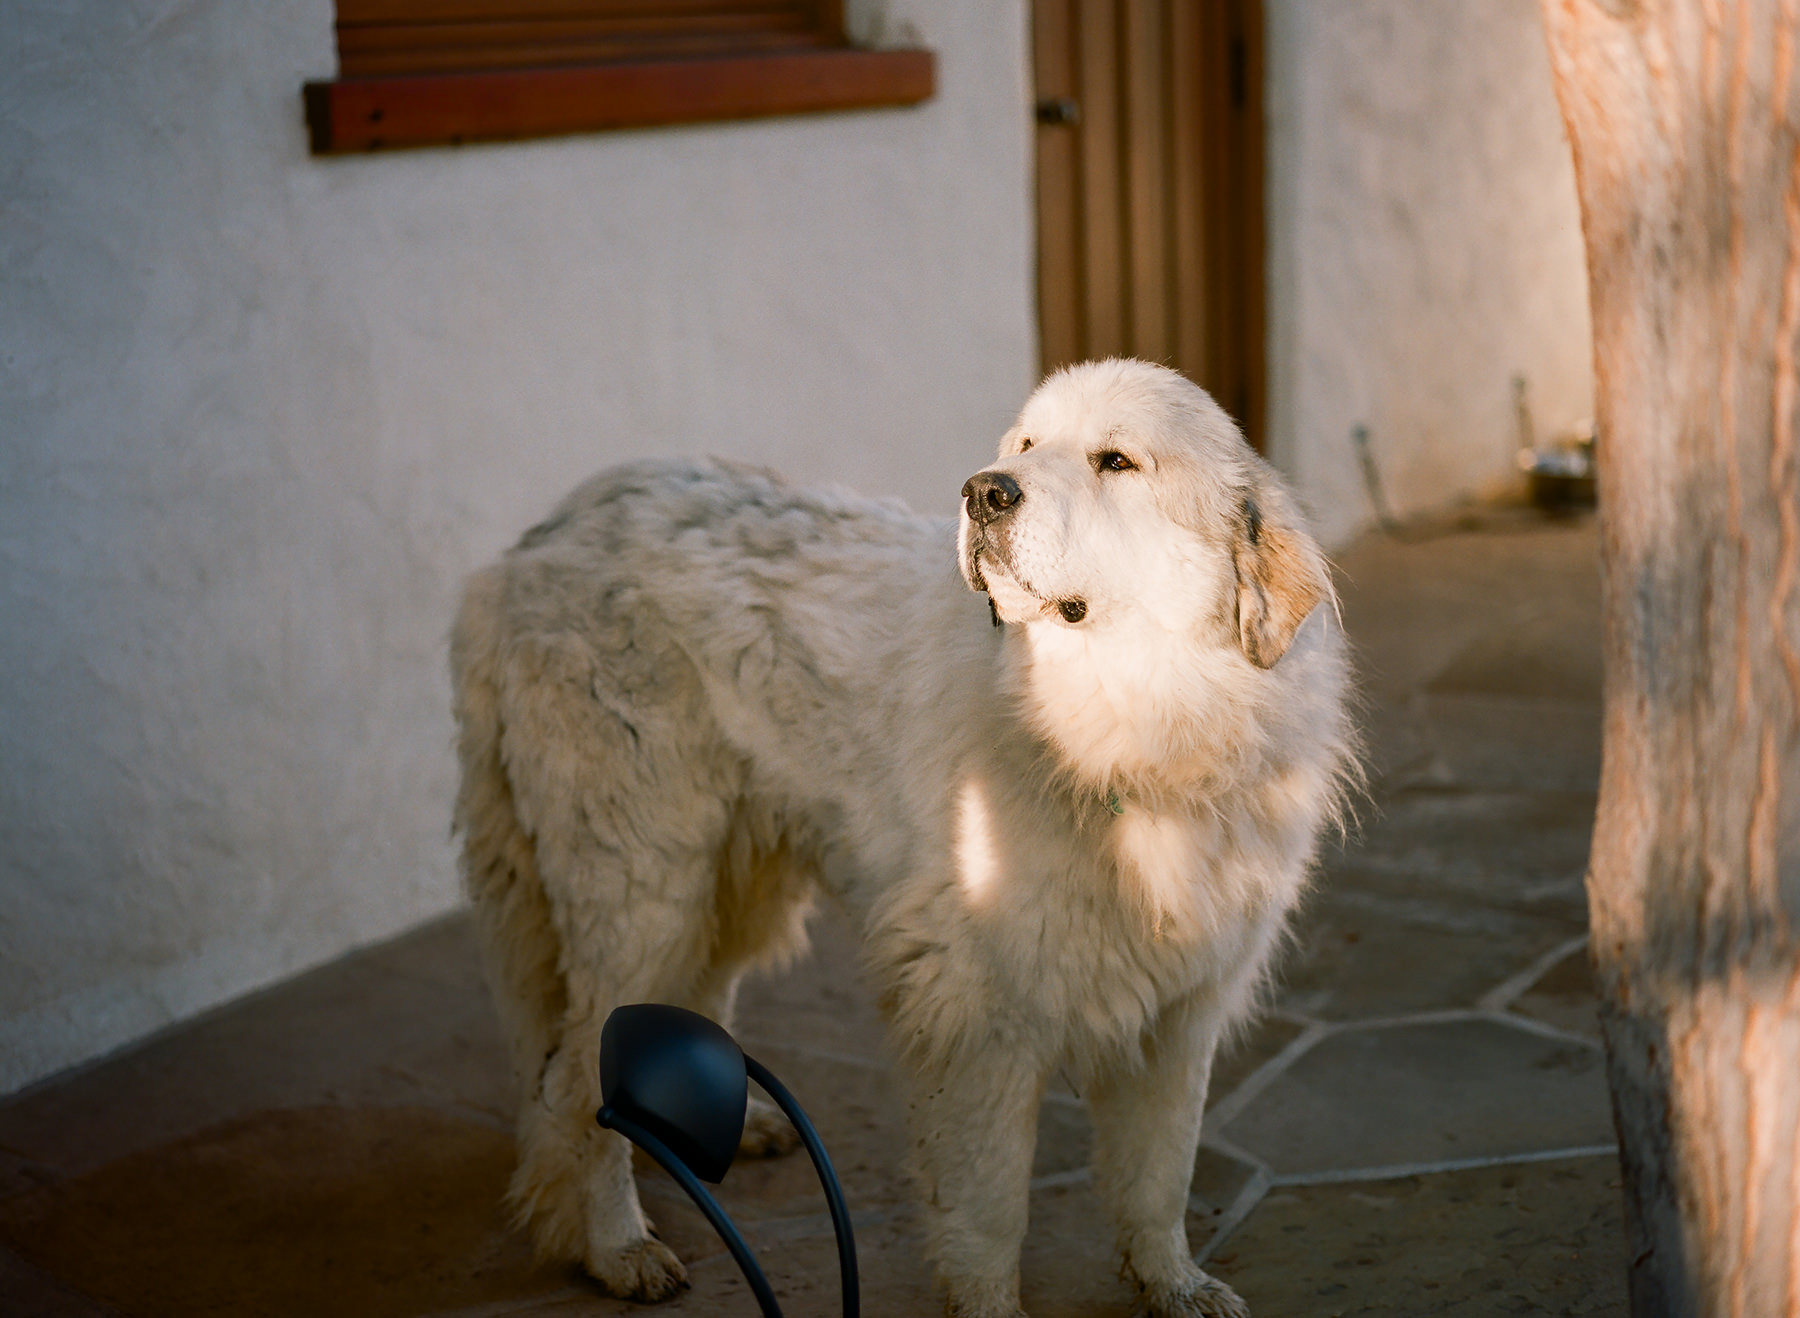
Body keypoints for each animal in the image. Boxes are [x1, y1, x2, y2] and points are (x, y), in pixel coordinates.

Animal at [450, 360, 1353, 1318]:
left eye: (1117, 461)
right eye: (1026, 446)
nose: (984, 493)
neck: (1127, 728)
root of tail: (528, 548)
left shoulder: (1184, 1003)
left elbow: (1160, 1176)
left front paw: (1173, 1285)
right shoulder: (982, 1013)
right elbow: (991, 1207)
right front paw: (991, 1307)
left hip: (728, 885)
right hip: (644, 891)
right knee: (574, 1079)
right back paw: (616, 1245)